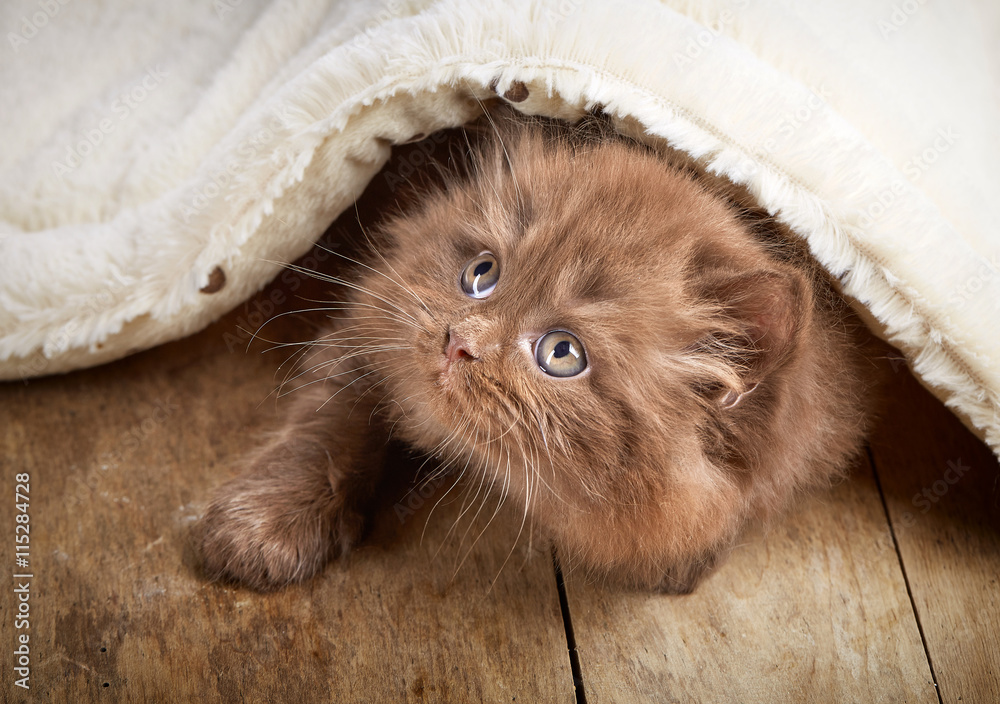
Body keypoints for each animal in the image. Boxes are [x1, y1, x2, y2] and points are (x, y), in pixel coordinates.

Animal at [197, 114, 884, 592]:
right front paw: (262, 528)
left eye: (561, 353)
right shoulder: (373, 320)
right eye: (481, 273)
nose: (459, 343)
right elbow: (324, 426)